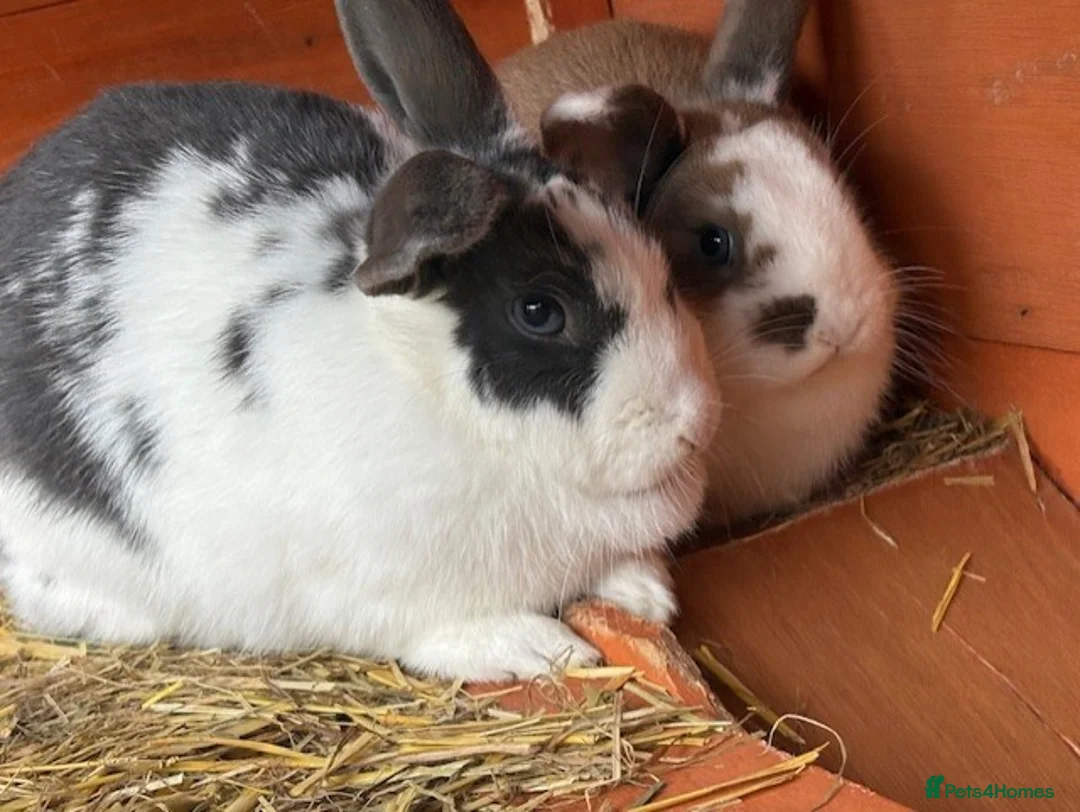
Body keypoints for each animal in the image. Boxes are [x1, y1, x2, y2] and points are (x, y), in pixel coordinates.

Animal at [0, 0, 721, 682]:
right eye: (539, 312)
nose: (694, 425)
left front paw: (646, 591)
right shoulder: (379, 594)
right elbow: (441, 631)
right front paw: (538, 648)